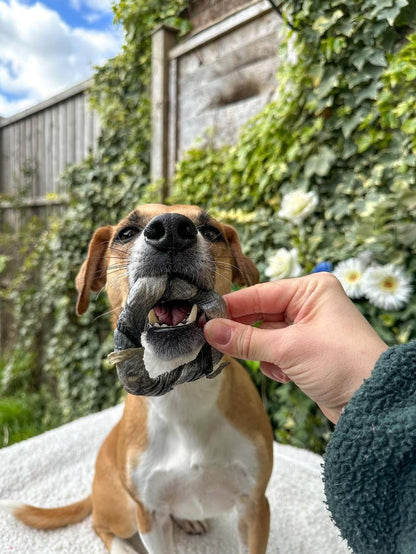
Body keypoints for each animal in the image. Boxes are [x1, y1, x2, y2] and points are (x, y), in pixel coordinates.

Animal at [4, 204, 276, 552]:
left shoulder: (254, 506)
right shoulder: (149, 515)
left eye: (212, 231)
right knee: (101, 526)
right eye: (125, 233)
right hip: (123, 509)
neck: (182, 398)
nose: (172, 230)